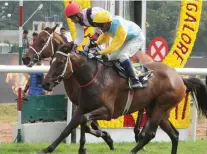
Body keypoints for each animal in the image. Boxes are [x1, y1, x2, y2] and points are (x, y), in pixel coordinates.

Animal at [40, 42, 207, 154]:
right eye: (51, 61)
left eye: (61, 62)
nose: (46, 83)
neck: (94, 78)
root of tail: (180, 78)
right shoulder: (82, 107)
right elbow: (69, 128)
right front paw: (47, 149)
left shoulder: (108, 111)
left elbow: (85, 121)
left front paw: (104, 138)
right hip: (156, 109)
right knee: (174, 135)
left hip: (161, 106)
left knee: (151, 134)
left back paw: (132, 149)